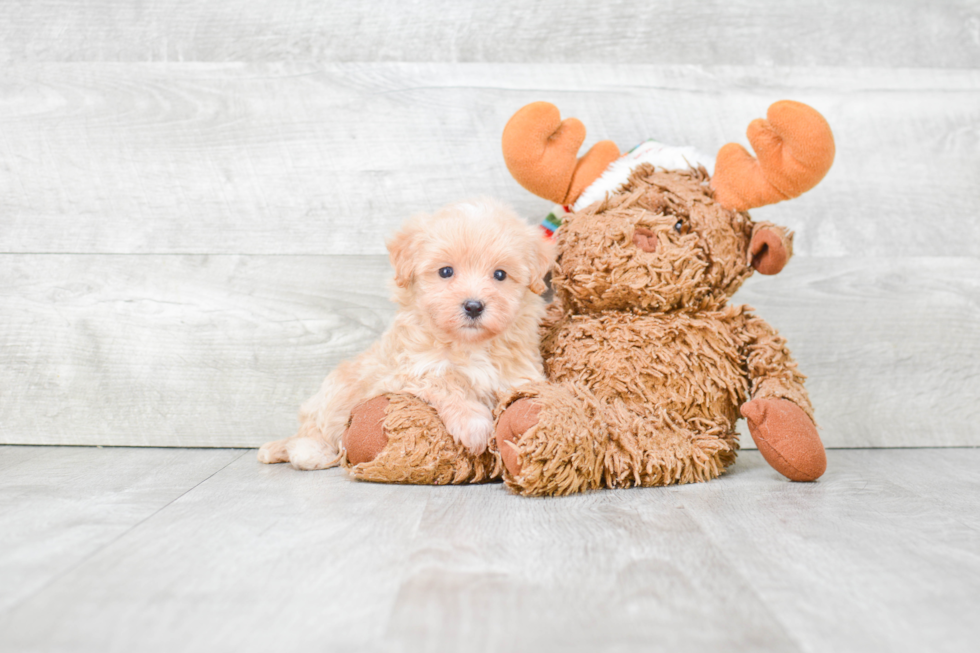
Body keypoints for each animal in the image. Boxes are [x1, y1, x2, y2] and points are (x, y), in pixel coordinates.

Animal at [256, 199, 556, 468]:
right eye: (446, 271)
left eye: (500, 275)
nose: (473, 306)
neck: (469, 345)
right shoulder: (409, 371)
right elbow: (445, 381)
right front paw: (475, 426)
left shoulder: (518, 374)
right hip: (333, 395)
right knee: (310, 432)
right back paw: (308, 452)